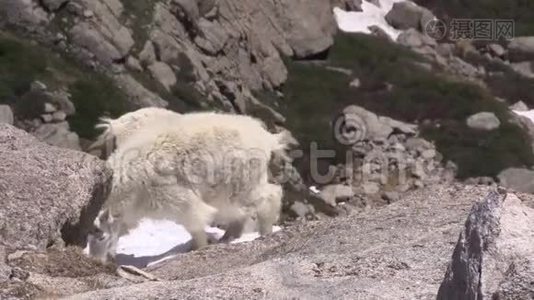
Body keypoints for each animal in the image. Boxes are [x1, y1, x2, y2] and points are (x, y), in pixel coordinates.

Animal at [89, 110, 288, 262]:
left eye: (101, 235)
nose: (96, 261)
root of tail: (266, 137)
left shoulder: (176, 198)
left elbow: (195, 222)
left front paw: (199, 248)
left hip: (241, 181)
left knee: (270, 196)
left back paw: (264, 233)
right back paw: (229, 236)